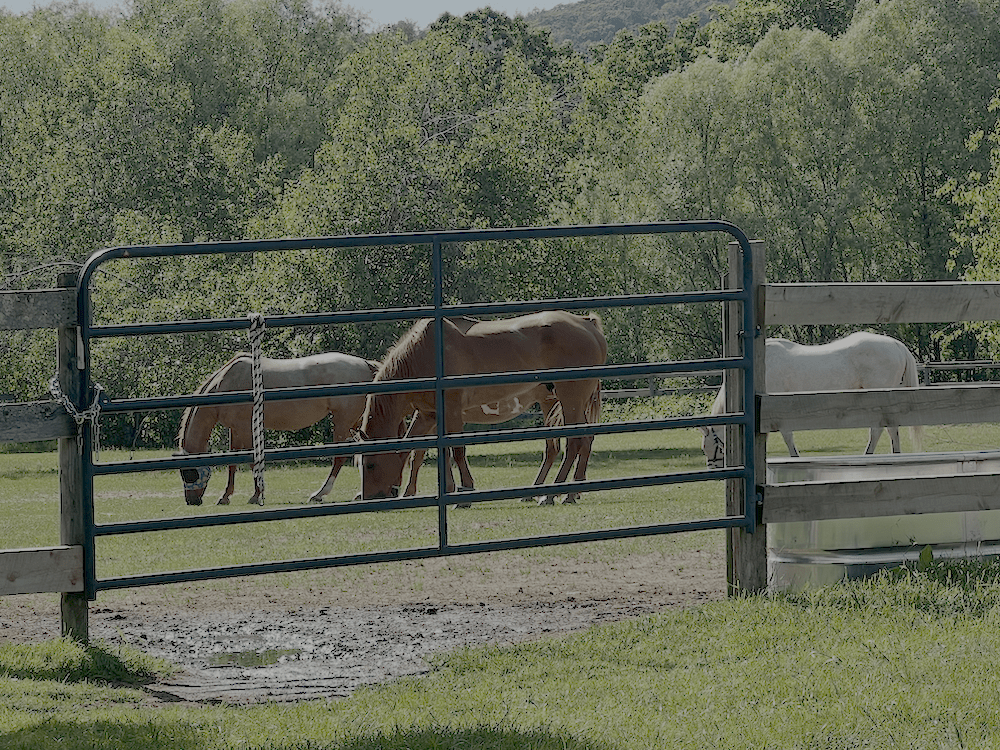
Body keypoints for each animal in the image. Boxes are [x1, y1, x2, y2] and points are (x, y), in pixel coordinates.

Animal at [177, 352, 379, 505]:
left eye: (189, 473)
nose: (192, 501)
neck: (226, 384)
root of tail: (366, 364)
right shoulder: (235, 430)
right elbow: (233, 462)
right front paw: (225, 496)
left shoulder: (245, 428)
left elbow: (251, 460)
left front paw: (256, 495)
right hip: (355, 423)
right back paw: (360, 493)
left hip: (343, 423)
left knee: (339, 458)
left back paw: (319, 494)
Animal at [358, 310, 606, 505]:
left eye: (370, 465)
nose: (368, 497)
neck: (424, 353)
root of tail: (587, 324)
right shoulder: (429, 415)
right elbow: (420, 452)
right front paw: (429, 490)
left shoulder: (451, 411)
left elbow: (456, 451)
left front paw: (464, 491)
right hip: (558, 402)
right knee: (569, 444)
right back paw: (557, 492)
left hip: (570, 401)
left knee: (575, 443)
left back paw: (553, 494)